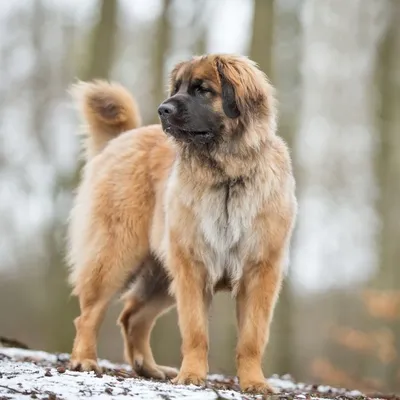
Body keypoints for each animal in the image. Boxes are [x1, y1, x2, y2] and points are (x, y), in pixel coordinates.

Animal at [66, 53, 296, 394]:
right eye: (177, 88)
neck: (226, 175)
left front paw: (254, 382)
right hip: (116, 257)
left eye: (202, 90)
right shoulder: (192, 268)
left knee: (133, 316)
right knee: (89, 315)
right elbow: (195, 331)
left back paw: (148, 368)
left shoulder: (260, 272)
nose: (163, 109)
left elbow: (252, 338)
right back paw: (84, 360)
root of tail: (124, 137)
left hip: (161, 276)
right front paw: (191, 376)